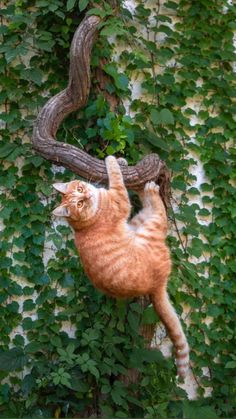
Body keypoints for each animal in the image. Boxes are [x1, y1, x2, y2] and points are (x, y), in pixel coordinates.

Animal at [52, 155, 189, 378]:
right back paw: (150, 189)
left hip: (137, 222)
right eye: (79, 203)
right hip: (148, 227)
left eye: (80, 189)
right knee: (158, 210)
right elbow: (115, 175)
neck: (85, 223)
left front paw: (121, 160)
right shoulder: (120, 199)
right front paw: (111, 159)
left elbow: (116, 172)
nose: (87, 195)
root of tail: (156, 286)